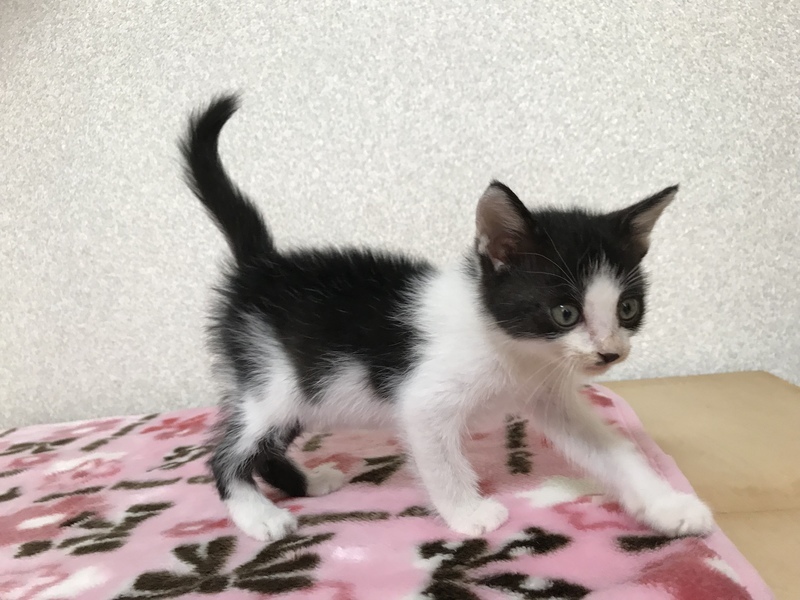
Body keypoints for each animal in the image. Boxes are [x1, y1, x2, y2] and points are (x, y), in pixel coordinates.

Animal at [180, 95, 714, 542]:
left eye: (627, 308)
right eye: (564, 312)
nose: (609, 352)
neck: (512, 348)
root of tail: (261, 265)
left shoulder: (547, 389)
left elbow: (610, 449)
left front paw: (668, 505)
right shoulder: (423, 400)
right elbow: (439, 458)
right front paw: (469, 514)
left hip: (300, 387)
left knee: (266, 447)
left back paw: (306, 483)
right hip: (271, 379)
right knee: (226, 452)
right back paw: (258, 516)